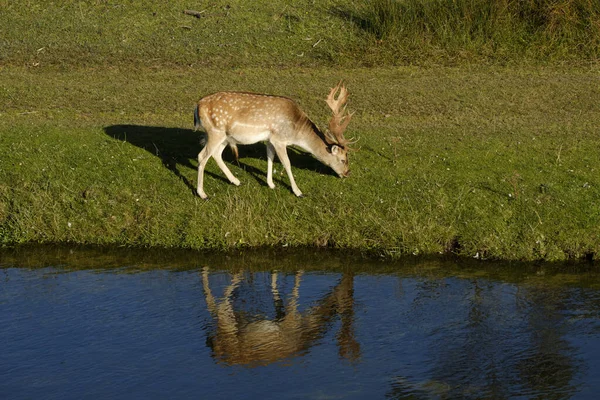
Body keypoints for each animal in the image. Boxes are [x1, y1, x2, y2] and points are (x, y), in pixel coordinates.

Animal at [192, 81, 354, 198]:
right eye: (343, 160)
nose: (347, 173)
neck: (296, 131)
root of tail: (197, 106)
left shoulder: (270, 139)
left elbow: (270, 157)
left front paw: (271, 184)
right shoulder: (280, 139)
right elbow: (287, 163)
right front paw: (298, 191)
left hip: (225, 136)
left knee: (216, 154)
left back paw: (236, 181)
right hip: (215, 131)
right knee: (202, 156)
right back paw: (202, 194)